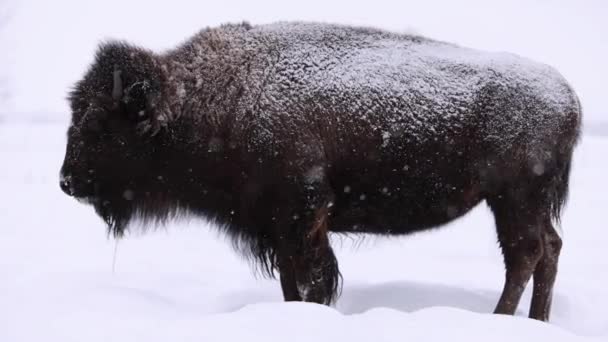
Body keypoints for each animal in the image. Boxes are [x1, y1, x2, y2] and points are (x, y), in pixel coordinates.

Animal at [59, 20, 580, 320]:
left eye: (102, 124)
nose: (66, 181)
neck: (203, 100)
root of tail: (567, 96)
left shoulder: (303, 218)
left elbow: (312, 280)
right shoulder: (276, 230)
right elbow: (290, 283)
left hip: (512, 198)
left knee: (525, 254)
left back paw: (500, 318)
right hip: (519, 203)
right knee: (548, 250)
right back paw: (535, 320)